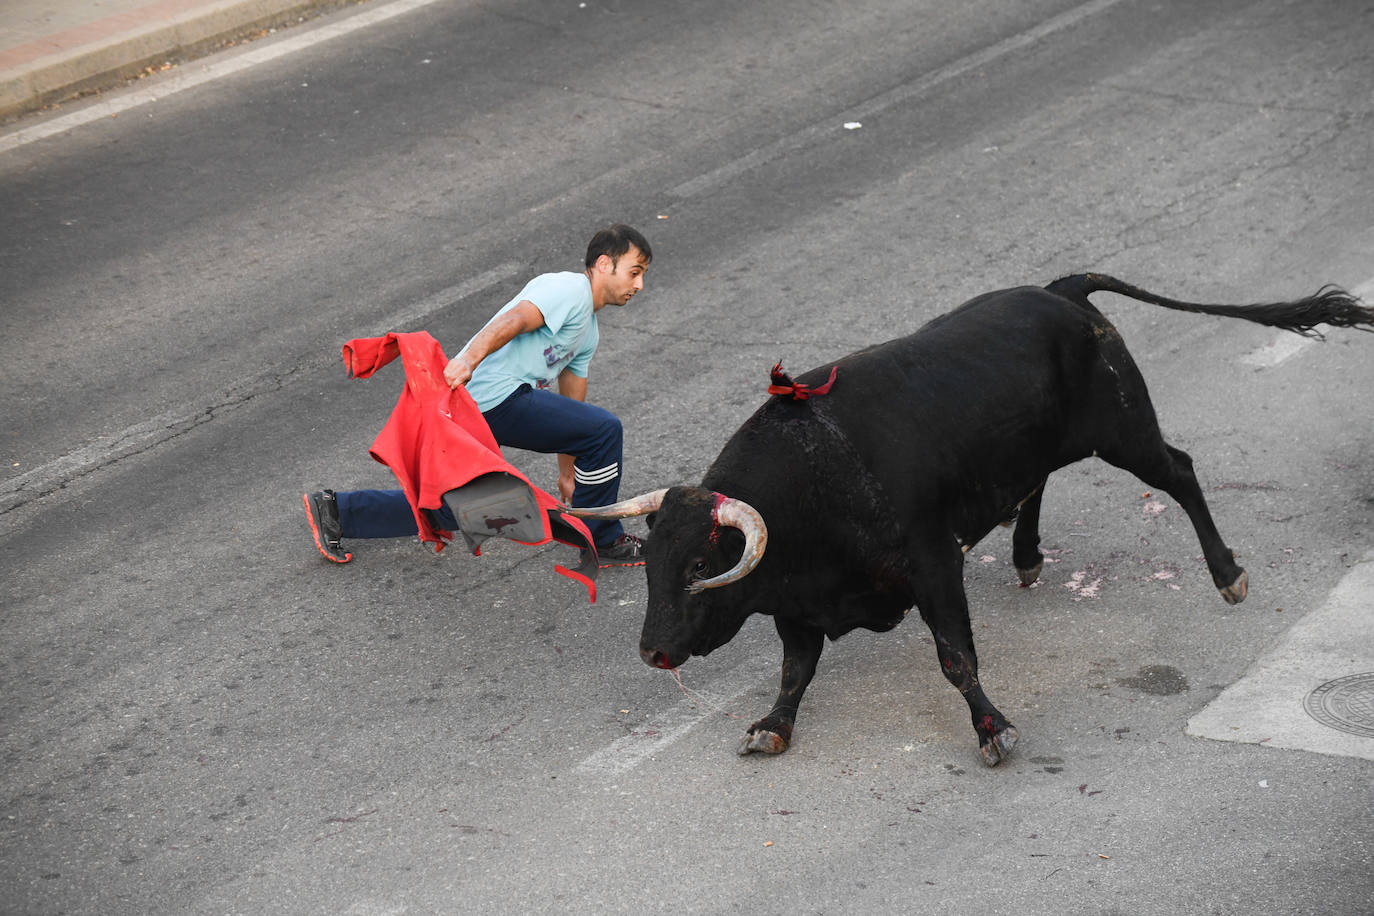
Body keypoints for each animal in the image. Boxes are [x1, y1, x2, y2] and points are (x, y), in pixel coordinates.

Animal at [571, 274, 1374, 769]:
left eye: (700, 565)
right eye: (650, 562)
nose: (652, 652)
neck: (816, 474)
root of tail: (1059, 292)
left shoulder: (933, 565)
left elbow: (956, 657)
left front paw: (994, 729)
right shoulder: (797, 602)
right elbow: (796, 668)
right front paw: (772, 727)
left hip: (1123, 430)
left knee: (1177, 471)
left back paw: (1228, 574)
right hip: (1053, 442)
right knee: (1038, 481)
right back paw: (1026, 556)